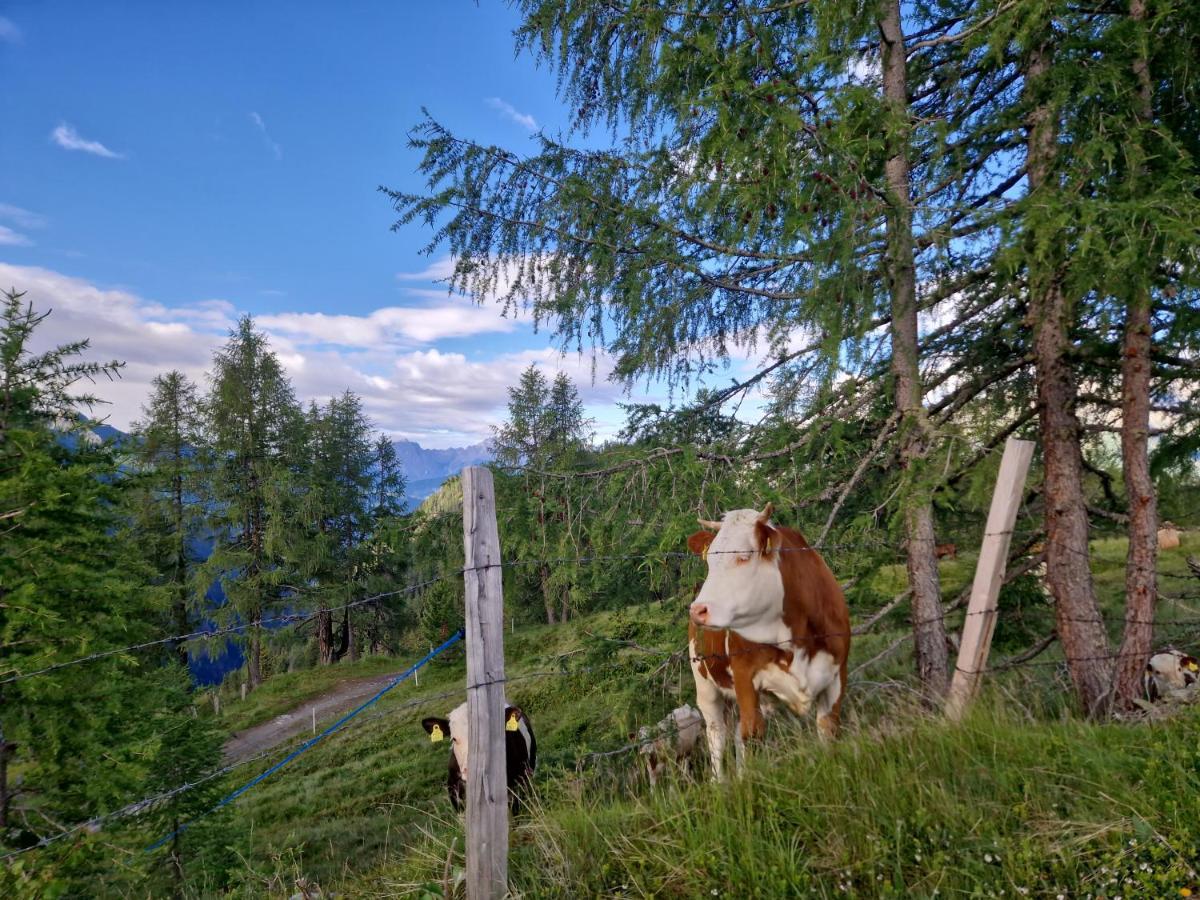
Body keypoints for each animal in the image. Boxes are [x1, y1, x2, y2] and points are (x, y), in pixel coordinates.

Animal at [691, 504, 849, 777]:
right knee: (717, 736)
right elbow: (751, 735)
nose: (698, 609)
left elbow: (827, 728)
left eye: (743, 556)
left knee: (734, 734)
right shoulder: (745, 678)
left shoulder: (837, 677)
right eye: (709, 560)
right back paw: (719, 781)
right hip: (705, 685)